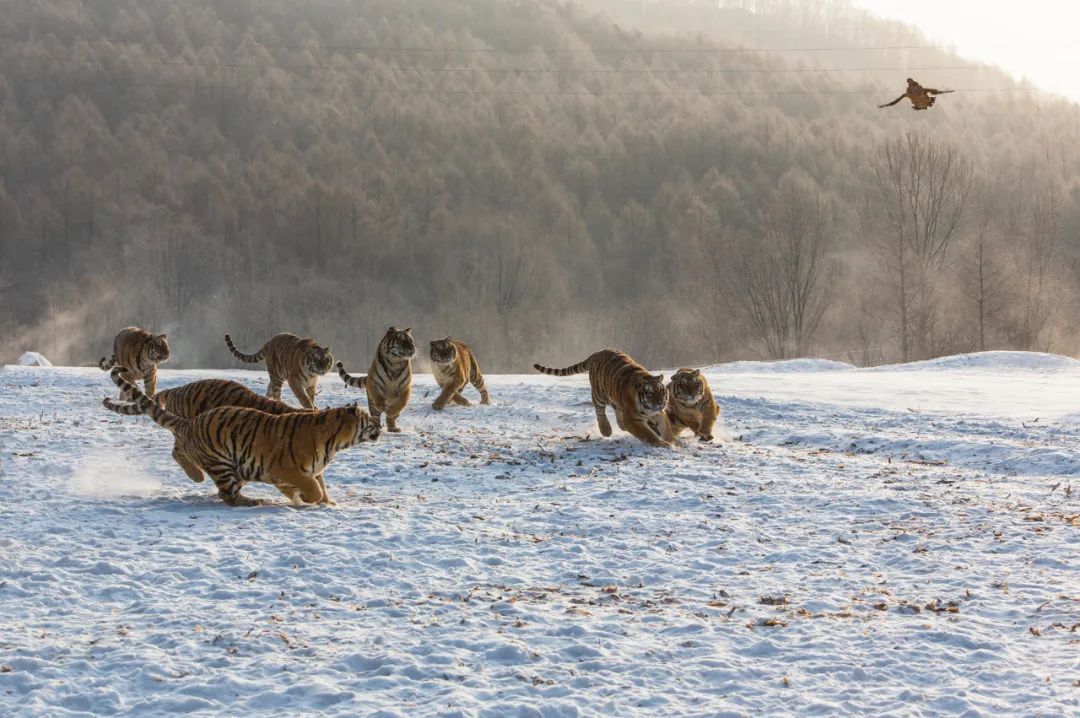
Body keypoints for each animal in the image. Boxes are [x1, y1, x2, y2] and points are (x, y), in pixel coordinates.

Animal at [101, 367, 380, 507]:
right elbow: (312, 488)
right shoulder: (286, 468)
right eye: (368, 419)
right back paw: (249, 499)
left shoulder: (305, 470)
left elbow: (318, 484)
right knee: (226, 494)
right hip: (221, 462)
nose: (379, 426)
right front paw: (309, 500)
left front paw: (324, 501)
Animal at [529, 349, 669, 444]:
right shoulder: (633, 420)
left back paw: (620, 425)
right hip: (599, 395)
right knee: (599, 412)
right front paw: (663, 444)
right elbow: (648, 434)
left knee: (617, 411)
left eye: (661, 391)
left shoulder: (658, 413)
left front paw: (672, 441)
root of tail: (597, 352)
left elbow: (666, 427)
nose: (660, 403)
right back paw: (606, 430)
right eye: (649, 392)